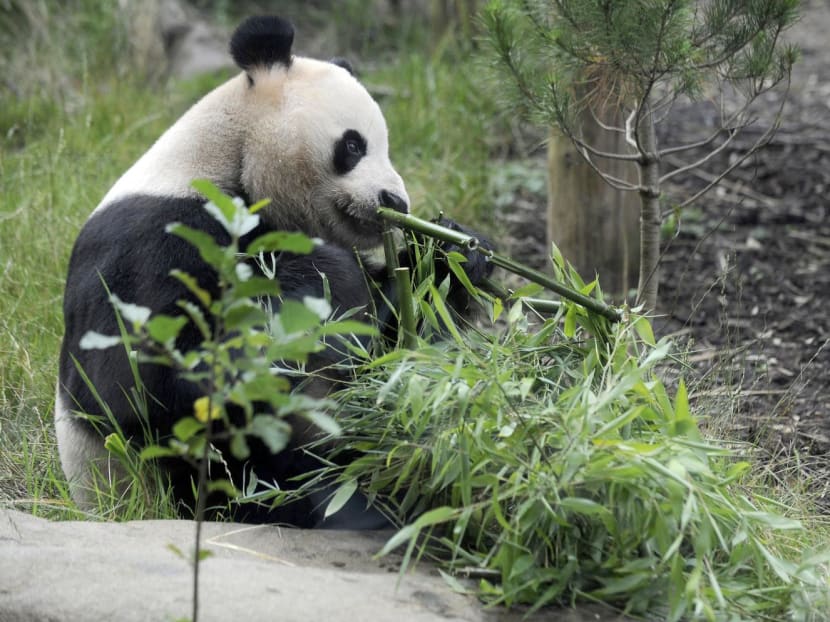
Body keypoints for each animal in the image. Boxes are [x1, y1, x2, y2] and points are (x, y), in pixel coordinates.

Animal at [55, 15, 492, 528]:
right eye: (353, 144)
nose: (396, 202)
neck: (228, 160)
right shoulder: (149, 240)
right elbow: (134, 381)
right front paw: (327, 280)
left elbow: (394, 336)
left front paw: (455, 251)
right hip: (175, 481)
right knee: (264, 470)